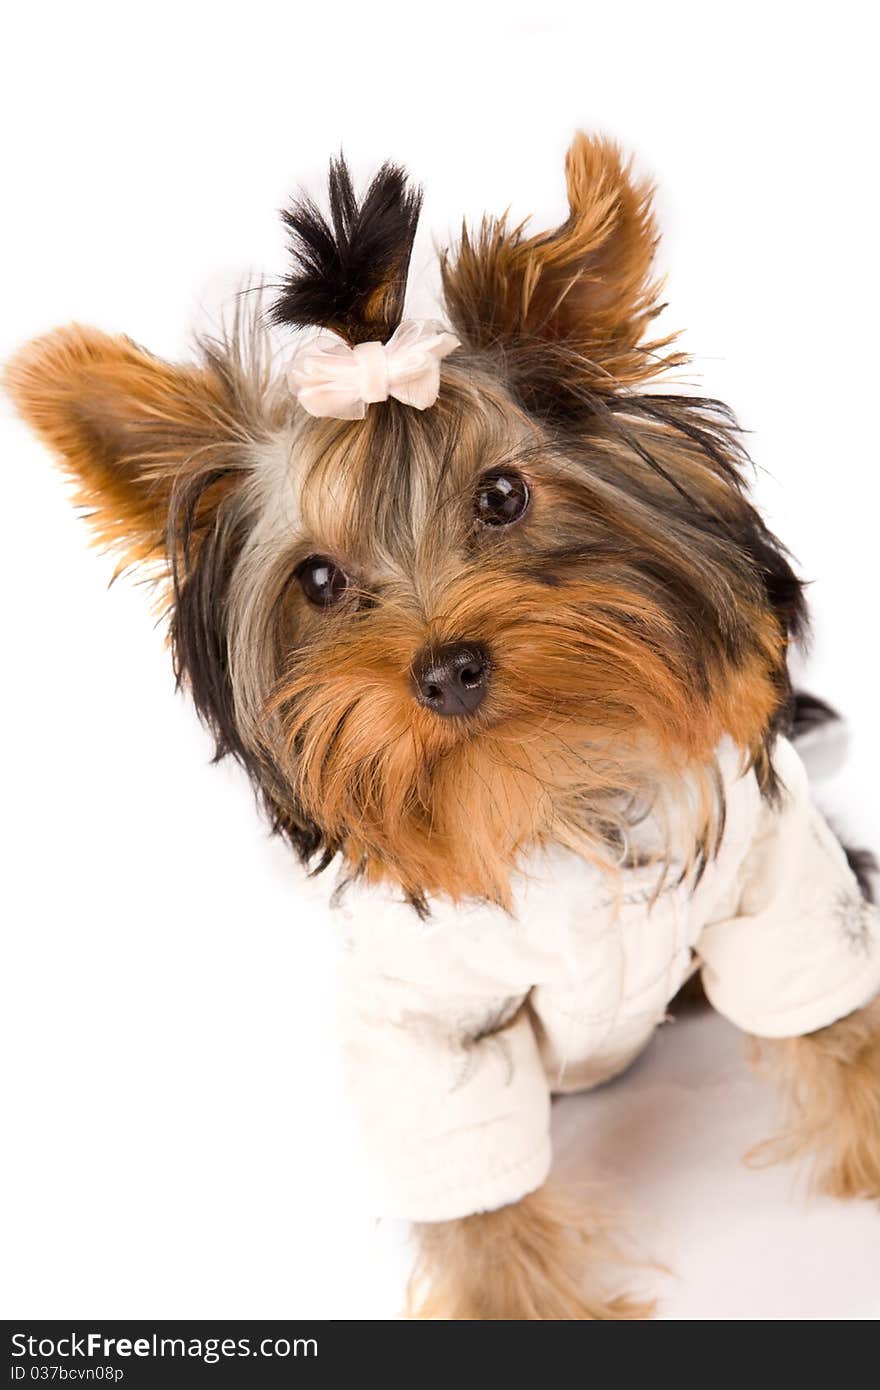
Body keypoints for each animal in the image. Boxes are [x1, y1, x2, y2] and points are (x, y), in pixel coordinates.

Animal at [8, 135, 878, 1317]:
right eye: (319, 579)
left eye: (502, 496)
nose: (447, 668)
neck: (536, 781)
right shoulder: (423, 1021)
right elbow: (473, 1187)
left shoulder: (778, 879)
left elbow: (836, 1022)